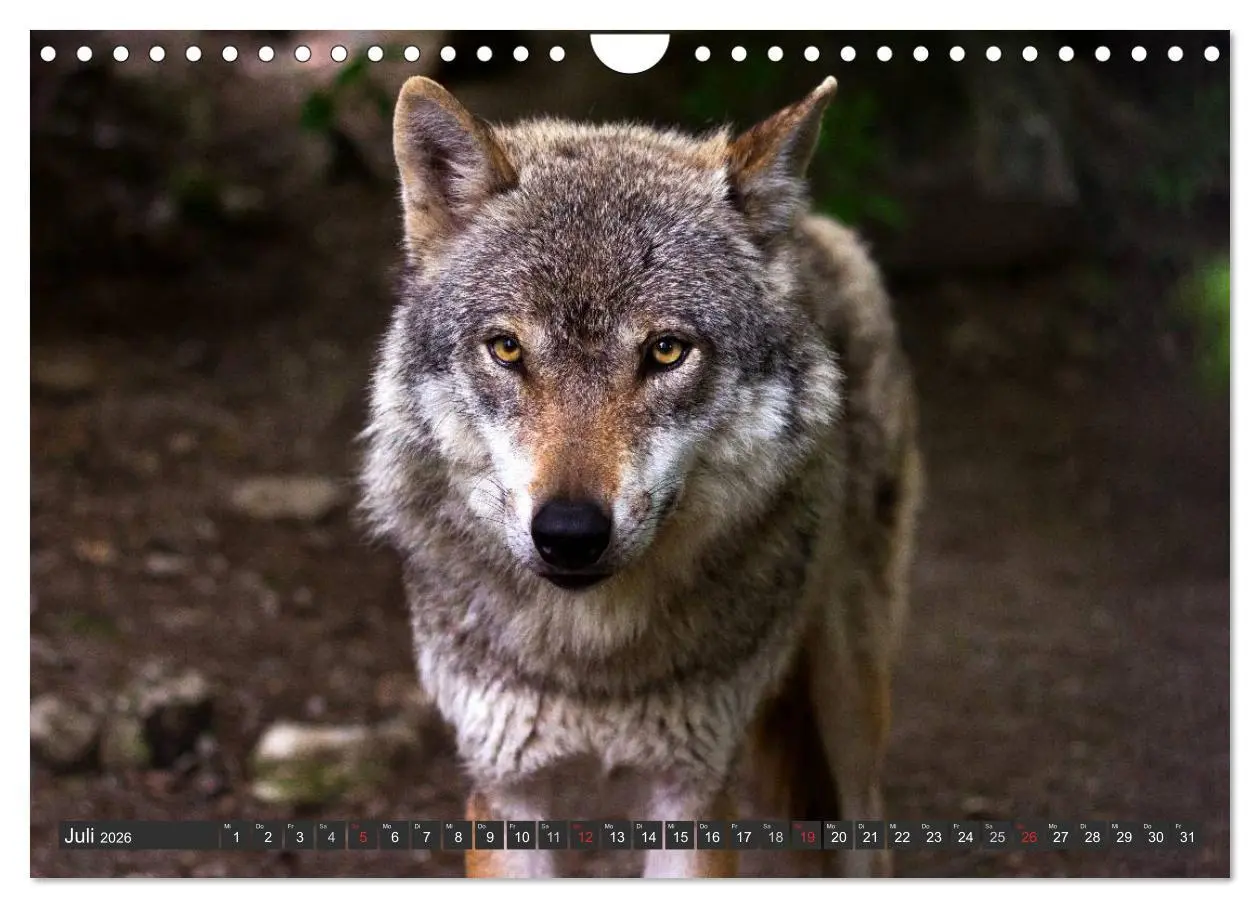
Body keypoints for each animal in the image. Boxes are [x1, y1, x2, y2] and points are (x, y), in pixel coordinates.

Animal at [360, 75, 922, 878]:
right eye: (507, 348)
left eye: (665, 351)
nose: (569, 533)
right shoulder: (506, 789)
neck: (592, 659)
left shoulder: (691, 791)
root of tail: (813, 228)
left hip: (849, 707)